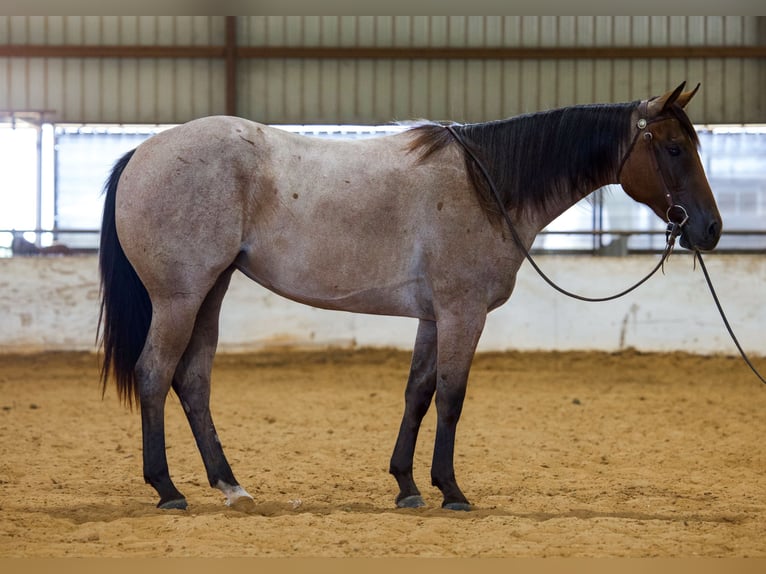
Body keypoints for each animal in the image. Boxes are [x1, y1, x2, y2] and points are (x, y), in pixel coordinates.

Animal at [98, 82, 721, 511]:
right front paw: (451, 490)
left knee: (192, 381)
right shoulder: (462, 313)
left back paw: (231, 486)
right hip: (180, 297)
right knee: (155, 374)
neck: (485, 186)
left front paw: (406, 485)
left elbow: (418, 393)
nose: (710, 230)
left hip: (211, 291)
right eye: (671, 148)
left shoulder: (433, 317)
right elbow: (451, 396)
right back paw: (167, 489)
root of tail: (142, 153)